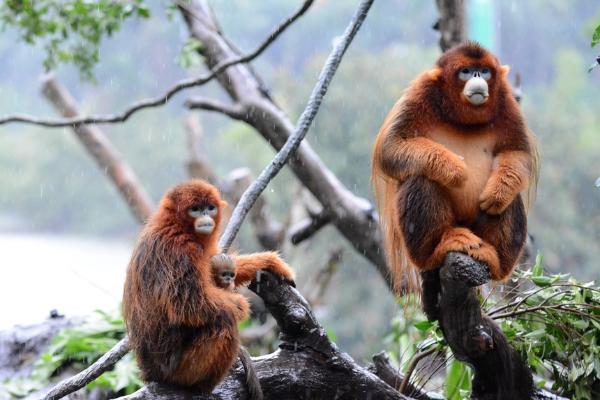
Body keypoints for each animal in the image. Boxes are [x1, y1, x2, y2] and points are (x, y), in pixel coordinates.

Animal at [125, 180, 296, 396]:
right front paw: (241, 305)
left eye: (209, 207)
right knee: (223, 321)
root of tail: (148, 373)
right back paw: (201, 387)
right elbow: (188, 305)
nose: (205, 215)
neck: (178, 227)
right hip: (176, 371)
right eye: (195, 209)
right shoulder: (179, 249)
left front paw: (269, 262)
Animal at [372, 42, 536, 296]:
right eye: (466, 71)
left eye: (484, 71)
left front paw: (497, 193)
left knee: (510, 196)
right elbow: (390, 147)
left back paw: (495, 259)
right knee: (421, 178)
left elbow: (519, 153)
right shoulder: (421, 91)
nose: (478, 77)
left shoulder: (507, 101)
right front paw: (454, 169)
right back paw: (439, 248)